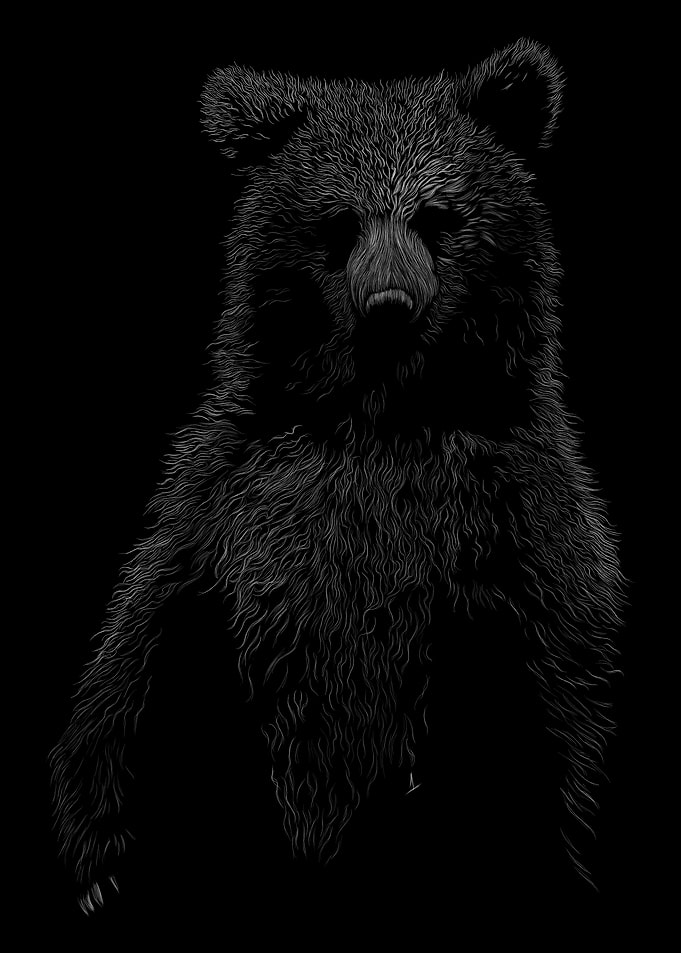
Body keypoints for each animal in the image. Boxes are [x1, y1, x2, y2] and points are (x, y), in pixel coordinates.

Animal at [49, 38, 626, 914]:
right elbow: (143, 650)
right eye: (341, 220)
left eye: (435, 215)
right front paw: (102, 866)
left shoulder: (509, 524)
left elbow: (539, 705)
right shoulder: (229, 503)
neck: (379, 412)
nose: (389, 302)